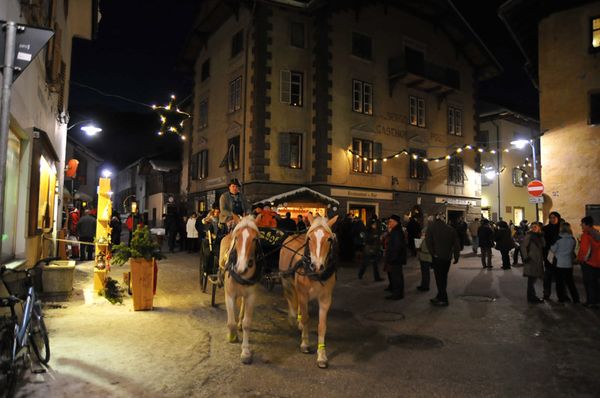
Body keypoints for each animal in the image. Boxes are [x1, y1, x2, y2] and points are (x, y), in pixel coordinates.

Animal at [218, 215, 260, 364]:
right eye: (237, 238)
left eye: (255, 239)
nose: (240, 267)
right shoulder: (229, 294)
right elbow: (231, 322)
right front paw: (232, 336)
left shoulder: (252, 296)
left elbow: (248, 323)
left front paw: (246, 352)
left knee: (242, 304)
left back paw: (240, 322)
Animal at [278, 213, 338, 368]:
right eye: (309, 238)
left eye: (329, 239)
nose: (317, 266)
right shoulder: (303, 294)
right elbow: (306, 318)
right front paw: (305, 344)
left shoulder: (326, 298)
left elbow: (322, 326)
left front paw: (322, 355)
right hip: (286, 280)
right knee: (290, 298)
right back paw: (293, 318)